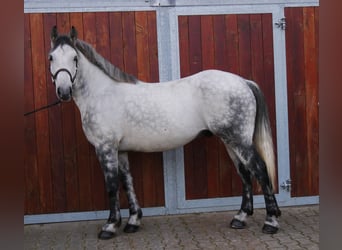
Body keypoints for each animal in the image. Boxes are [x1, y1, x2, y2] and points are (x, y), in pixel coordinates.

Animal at [48, 26, 280, 239]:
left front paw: (110, 226)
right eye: (51, 57)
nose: (64, 92)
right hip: (231, 142)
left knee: (260, 170)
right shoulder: (120, 150)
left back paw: (271, 222)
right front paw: (133, 221)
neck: (102, 94)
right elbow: (127, 182)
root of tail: (243, 82)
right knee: (245, 173)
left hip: (238, 140)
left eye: (74, 58)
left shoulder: (105, 148)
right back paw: (240, 218)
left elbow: (112, 185)